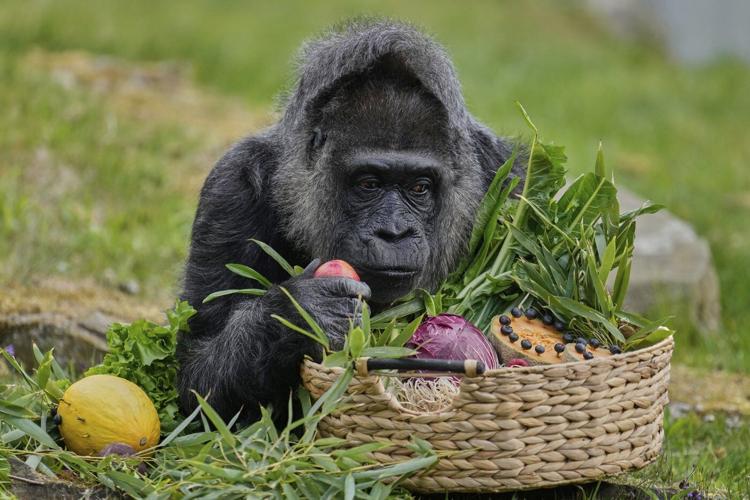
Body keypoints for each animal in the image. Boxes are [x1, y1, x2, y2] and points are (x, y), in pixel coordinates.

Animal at [176, 19, 523, 425]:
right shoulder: (231, 189)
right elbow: (197, 379)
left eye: (419, 187)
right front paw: (302, 313)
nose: (394, 232)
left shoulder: (510, 174)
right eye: (368, 184)